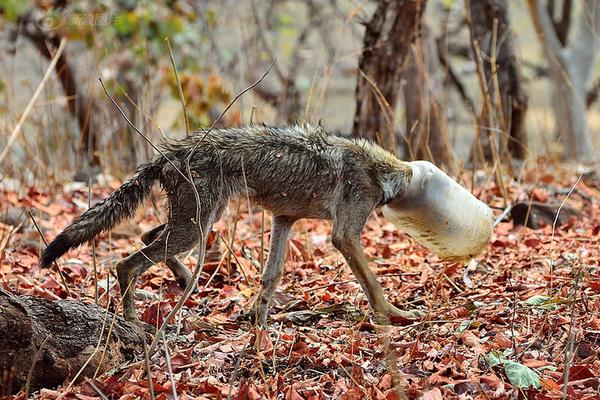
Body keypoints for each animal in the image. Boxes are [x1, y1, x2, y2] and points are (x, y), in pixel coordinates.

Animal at [39, 125, 422, 324]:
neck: (379, 171)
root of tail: (168, 154)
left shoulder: (283, 219)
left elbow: (270, 277)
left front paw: (260, 324)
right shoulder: (345, 236)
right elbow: (373, 285)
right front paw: (396, 315)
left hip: (200, 223)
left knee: (148, 238)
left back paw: (184, 279)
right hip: (194, 229)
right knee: (127, 263)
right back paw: (134, 320)